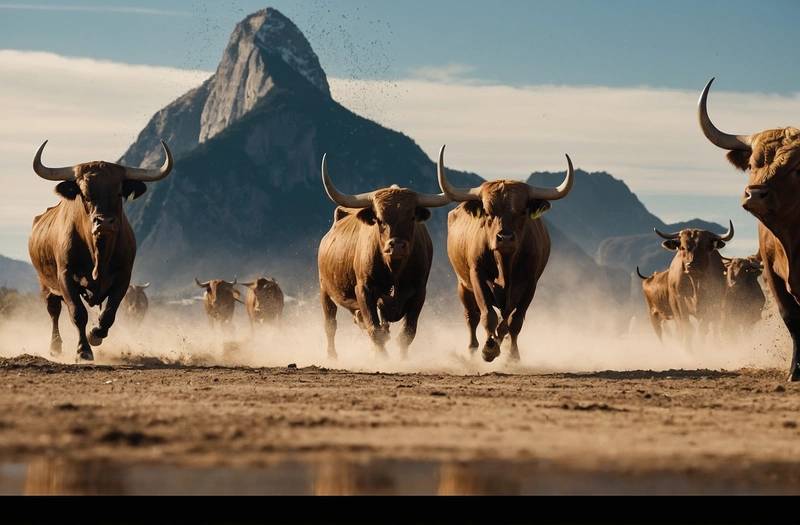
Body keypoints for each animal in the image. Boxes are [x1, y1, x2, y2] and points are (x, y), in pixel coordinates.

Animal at [28, 140, 173, 361]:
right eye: (85, 194)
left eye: (119, 192)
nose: (104, 222)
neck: (98, 253)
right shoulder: (65, 276)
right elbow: (78, 313)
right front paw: (83, 350)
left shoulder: (123, 277)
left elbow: (109, 313)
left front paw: (95, 333)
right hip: (45, 285)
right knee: (54, 311)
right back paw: (55, 347)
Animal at [317, 153, 450, 359]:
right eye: (379, 219)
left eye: (412, 217)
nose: (397, 245)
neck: (394, 270)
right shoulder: (364, 290)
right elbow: (375, 330)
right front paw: (383, 359)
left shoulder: (419, 292)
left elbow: (407, 333)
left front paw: (403, 360)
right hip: (325, 290)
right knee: (330, 325)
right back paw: (332, 356)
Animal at [436, 145, 575, 362]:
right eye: (487, 211)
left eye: (522, 211)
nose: (505, 238)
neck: (504, 265)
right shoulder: (477, 276)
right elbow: (488, 315)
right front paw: (489, 349)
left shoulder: (530, 284)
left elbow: (514, 321)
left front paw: (512, 355)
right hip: (462, 285)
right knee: (471, 317)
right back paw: (473, 348)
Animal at [698, 77, 800, 380]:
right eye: (754, 163)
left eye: (796, 168)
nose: (754, 194)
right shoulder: (773, 274)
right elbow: (791, 318)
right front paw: (794, 371)